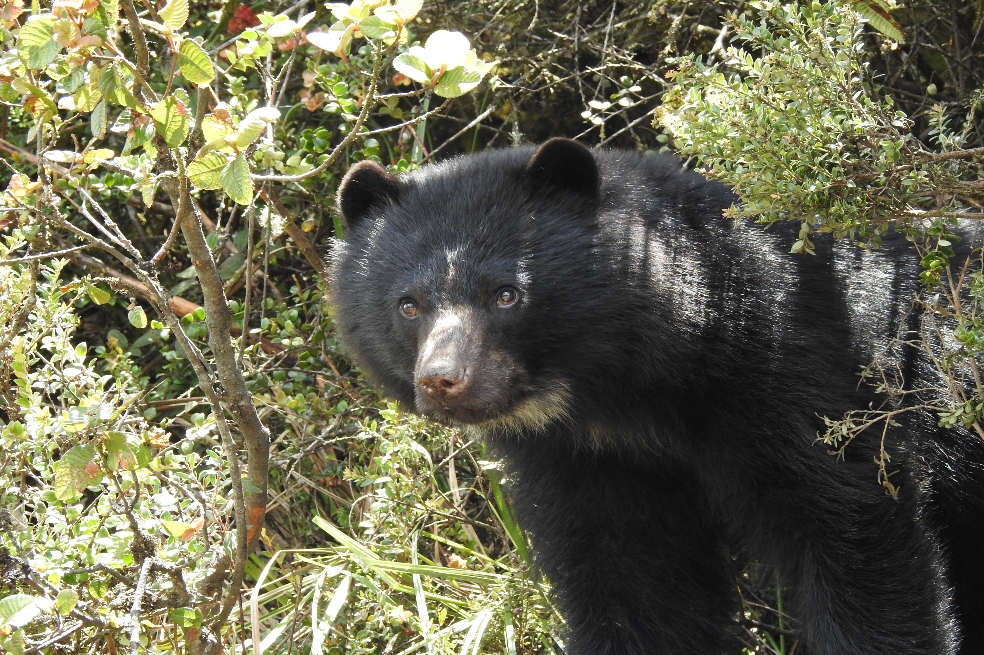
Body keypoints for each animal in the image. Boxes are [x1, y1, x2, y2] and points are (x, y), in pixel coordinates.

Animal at [329, 138, 984, 655]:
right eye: (408, 305)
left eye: (506, 294)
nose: (443, 380)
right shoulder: (591, 461)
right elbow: (635, 583)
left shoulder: (807, 375)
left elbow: (855, 534)